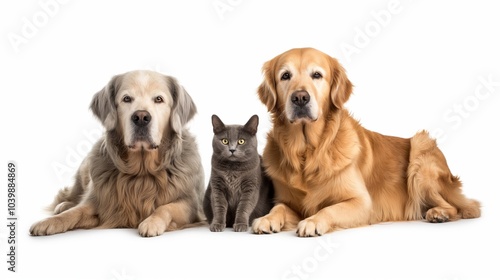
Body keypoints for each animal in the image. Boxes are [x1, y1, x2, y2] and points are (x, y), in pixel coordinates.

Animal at [30, 70, 205, 236]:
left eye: (158, 99)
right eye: (126, 99)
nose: (141, 117)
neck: (141, 171)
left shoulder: (189, 203)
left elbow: (165, 208)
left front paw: (151, 223)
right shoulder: (100, 201)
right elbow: (75, 212)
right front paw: (48, 222)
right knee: (72, 197)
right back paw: (63, 205)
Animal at [252, 47, 482, 236]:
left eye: (316, 75)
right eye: (285, 76)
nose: (300, 98)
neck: (308, 150)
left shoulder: (362, 202)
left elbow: (329, 208)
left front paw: (313, 221)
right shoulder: (288, 201)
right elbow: (279, 207)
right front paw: (267, 218)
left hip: (421, 152)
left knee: (461, 207)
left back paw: (438, 213)